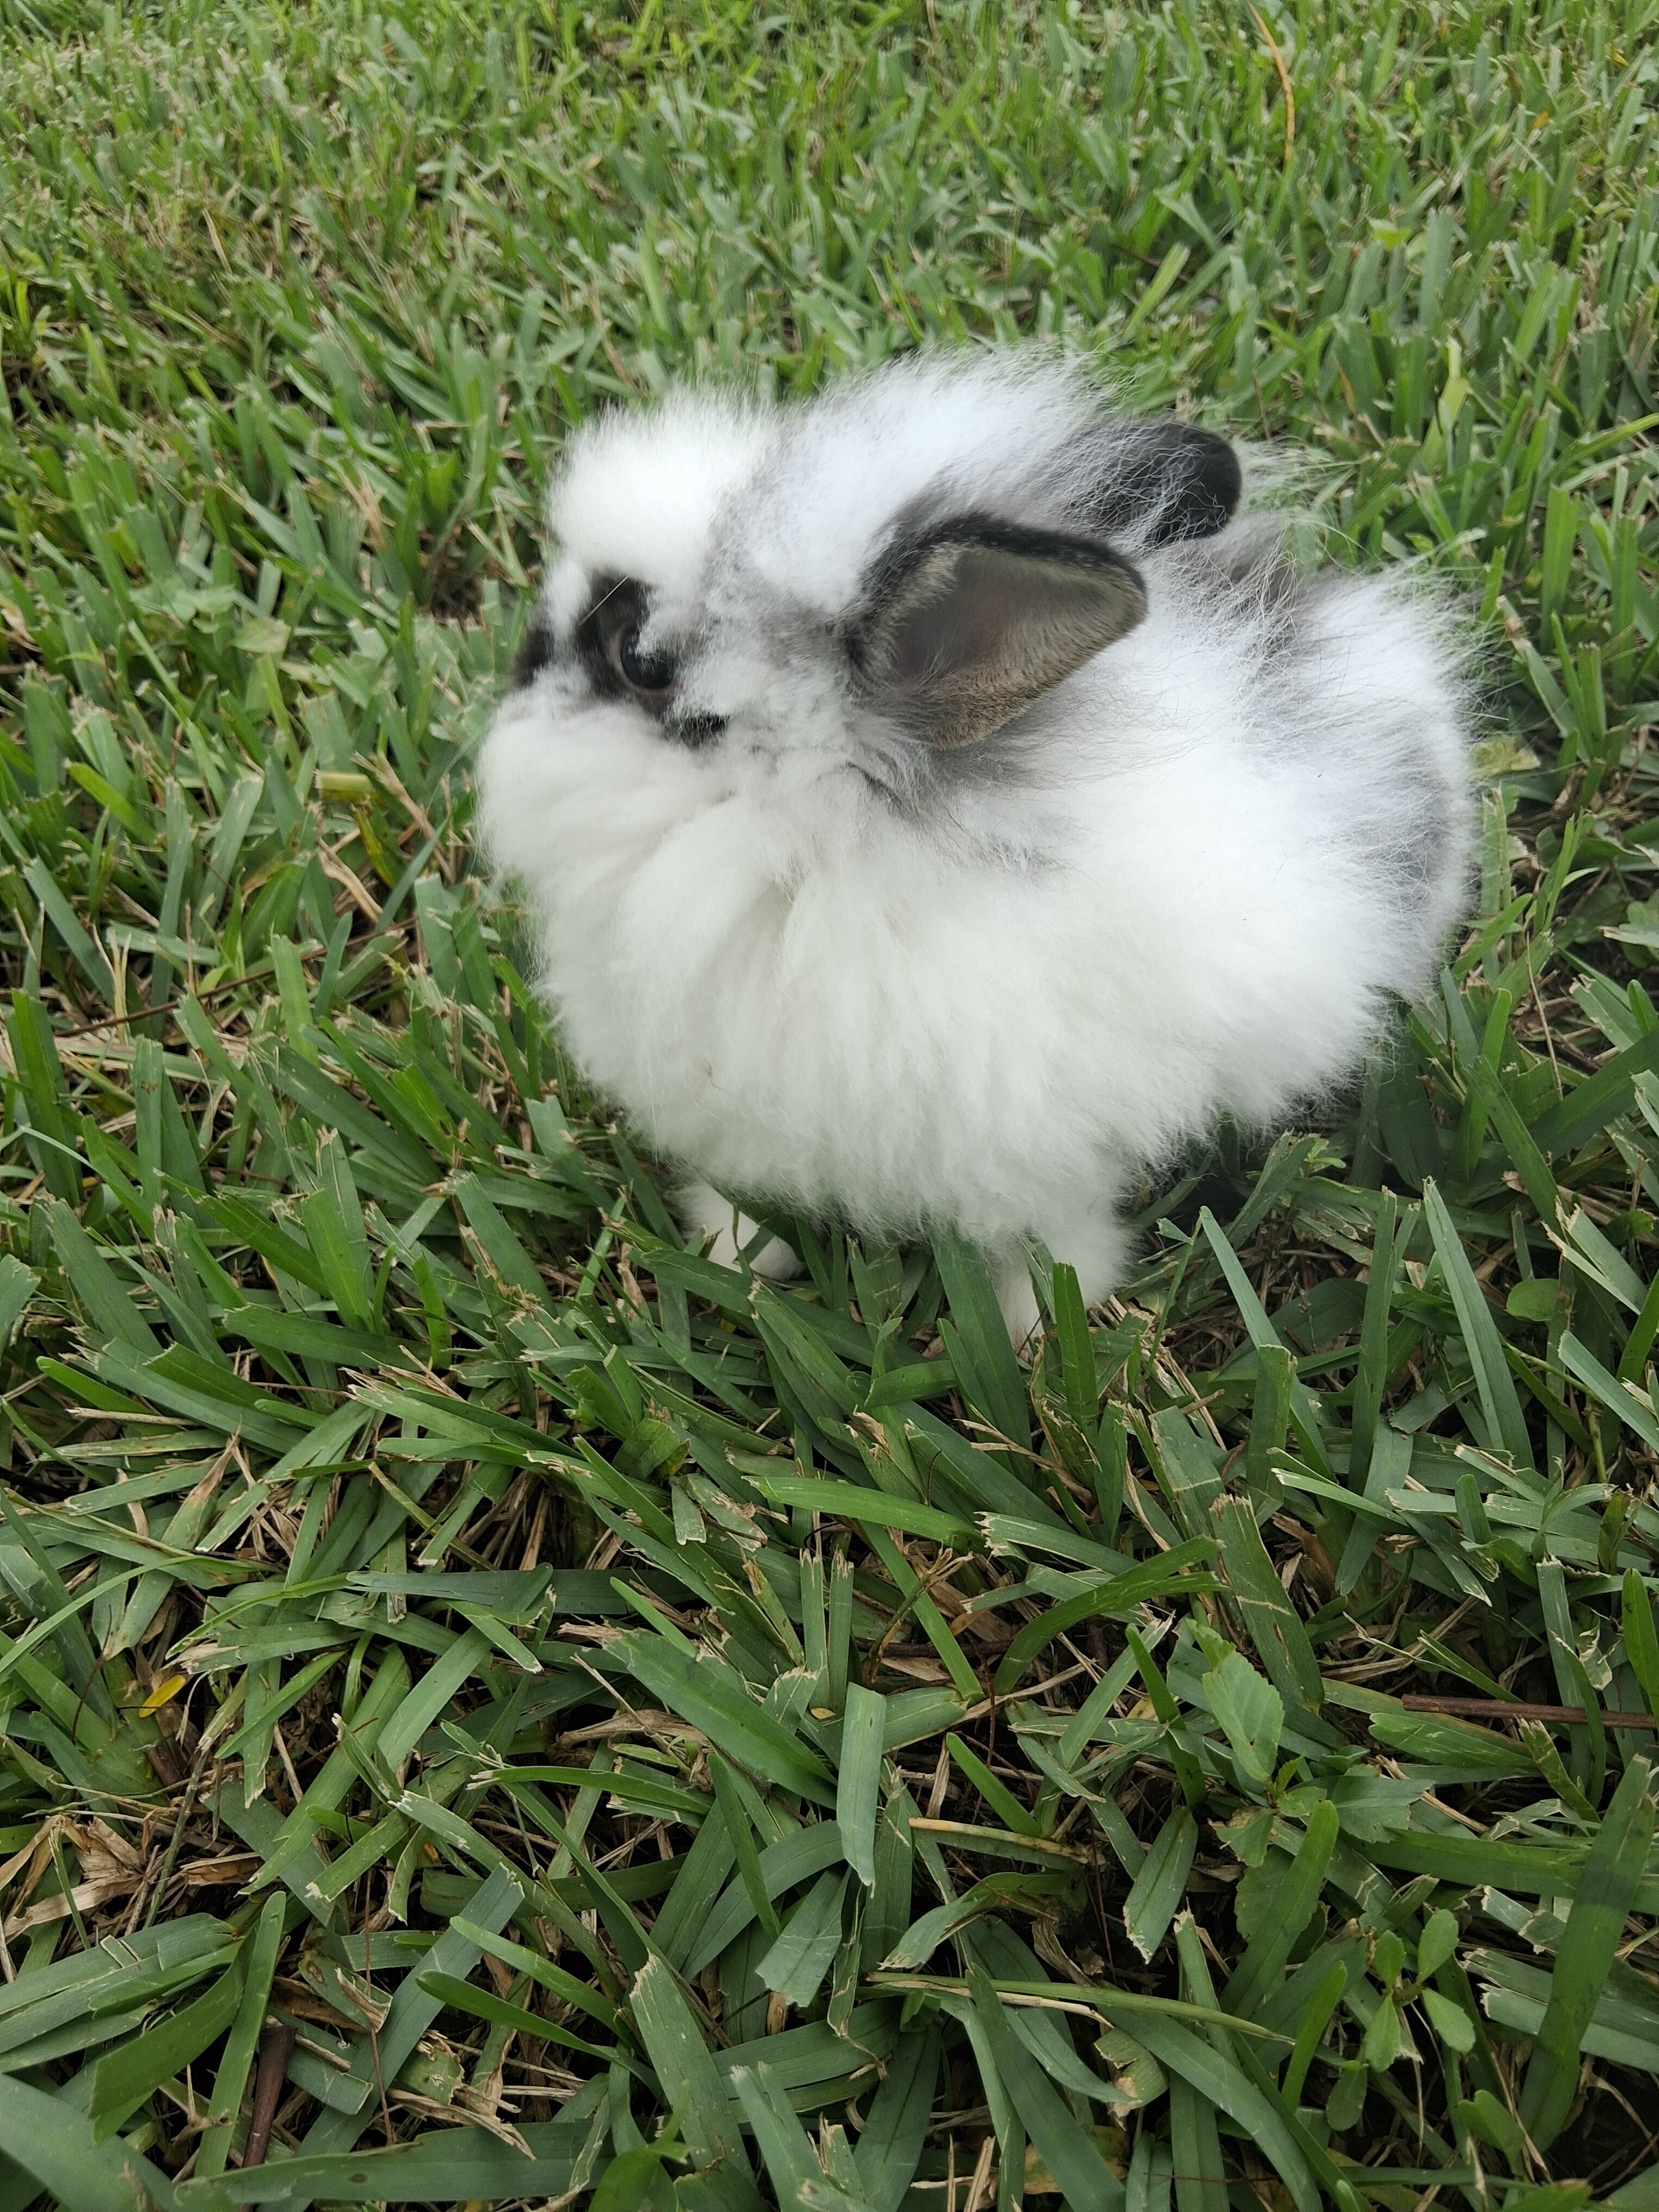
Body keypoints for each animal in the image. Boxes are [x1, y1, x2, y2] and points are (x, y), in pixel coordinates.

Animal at [478, 349, 1474, 1340]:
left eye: (639, 660)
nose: (517, 674)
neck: (811, 848)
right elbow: (748, 1206)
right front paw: (732, 1262)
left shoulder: (1043, 1151)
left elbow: (1052, 1243)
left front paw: (1038, 1329)